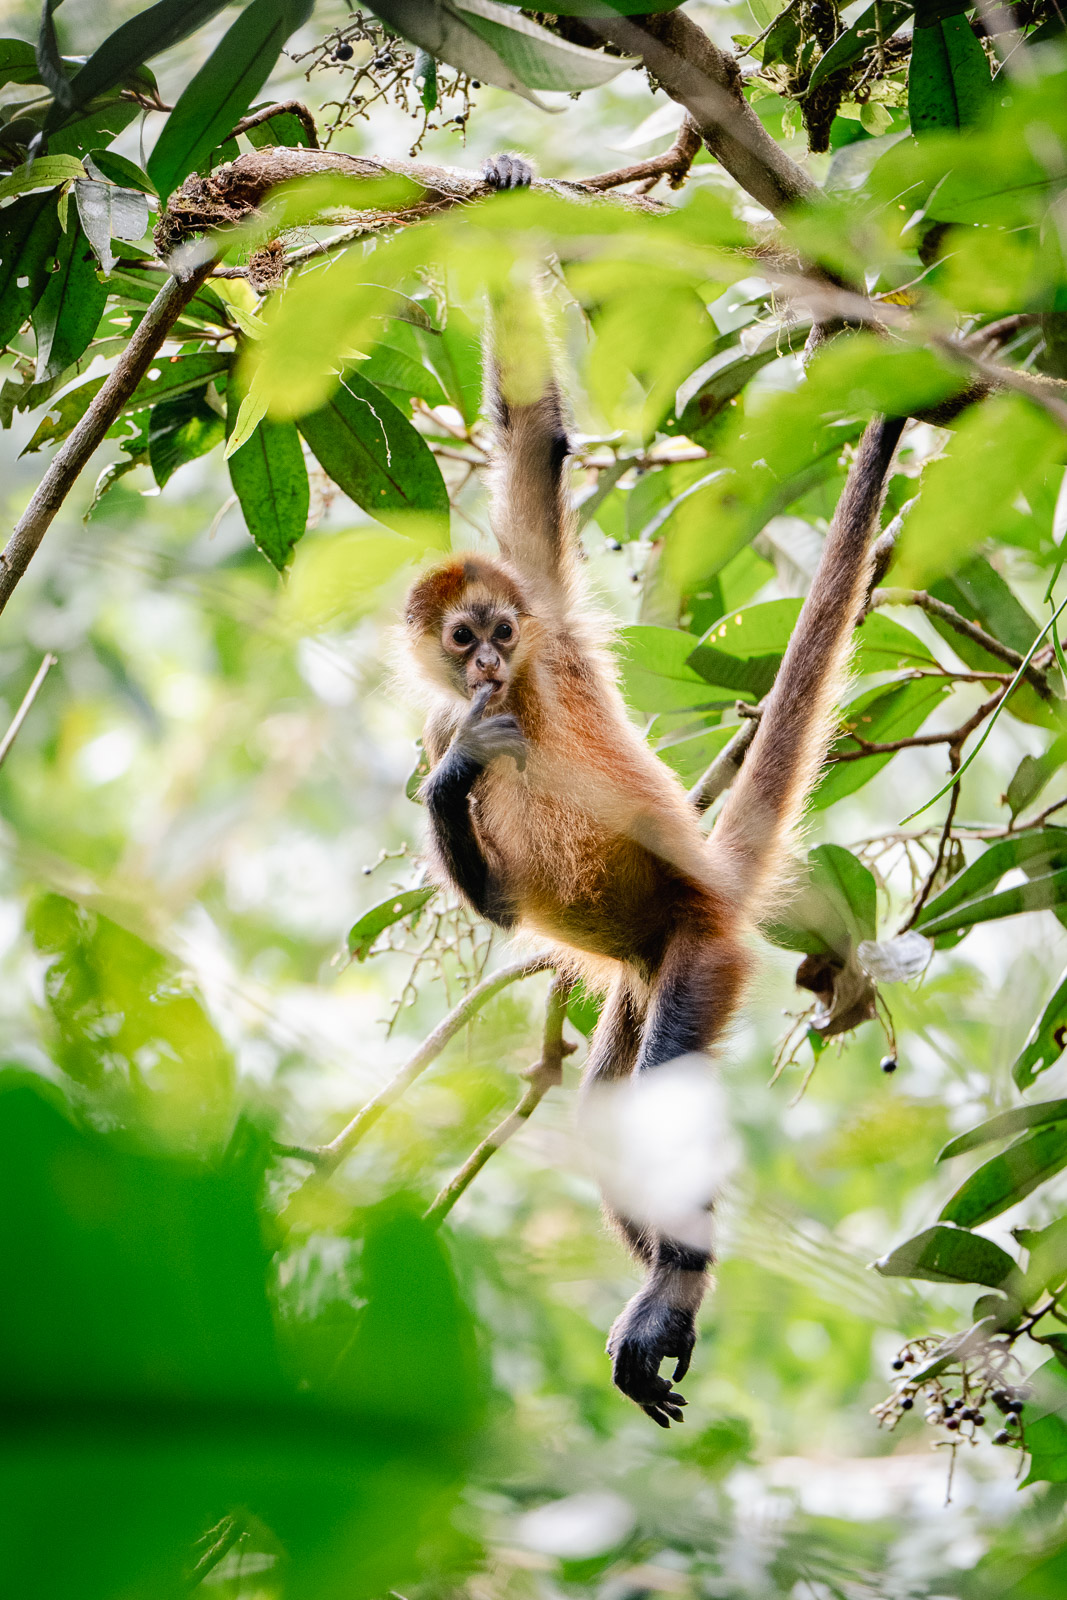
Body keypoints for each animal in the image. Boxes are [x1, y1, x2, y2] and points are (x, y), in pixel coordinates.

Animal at [403, 154, 905, 1427]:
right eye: (461, 638)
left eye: (499, 629)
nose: (488, 665)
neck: (517, 695)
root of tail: (712, 886)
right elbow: (490, 887)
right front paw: (455, 772)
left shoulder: (554, 625)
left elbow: (533, 443)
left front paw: (503, 189)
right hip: (634, 977)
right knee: (608, 1117)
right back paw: (676, 1276)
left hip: (698, 950)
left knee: (666, 1083)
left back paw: (676, 1278)